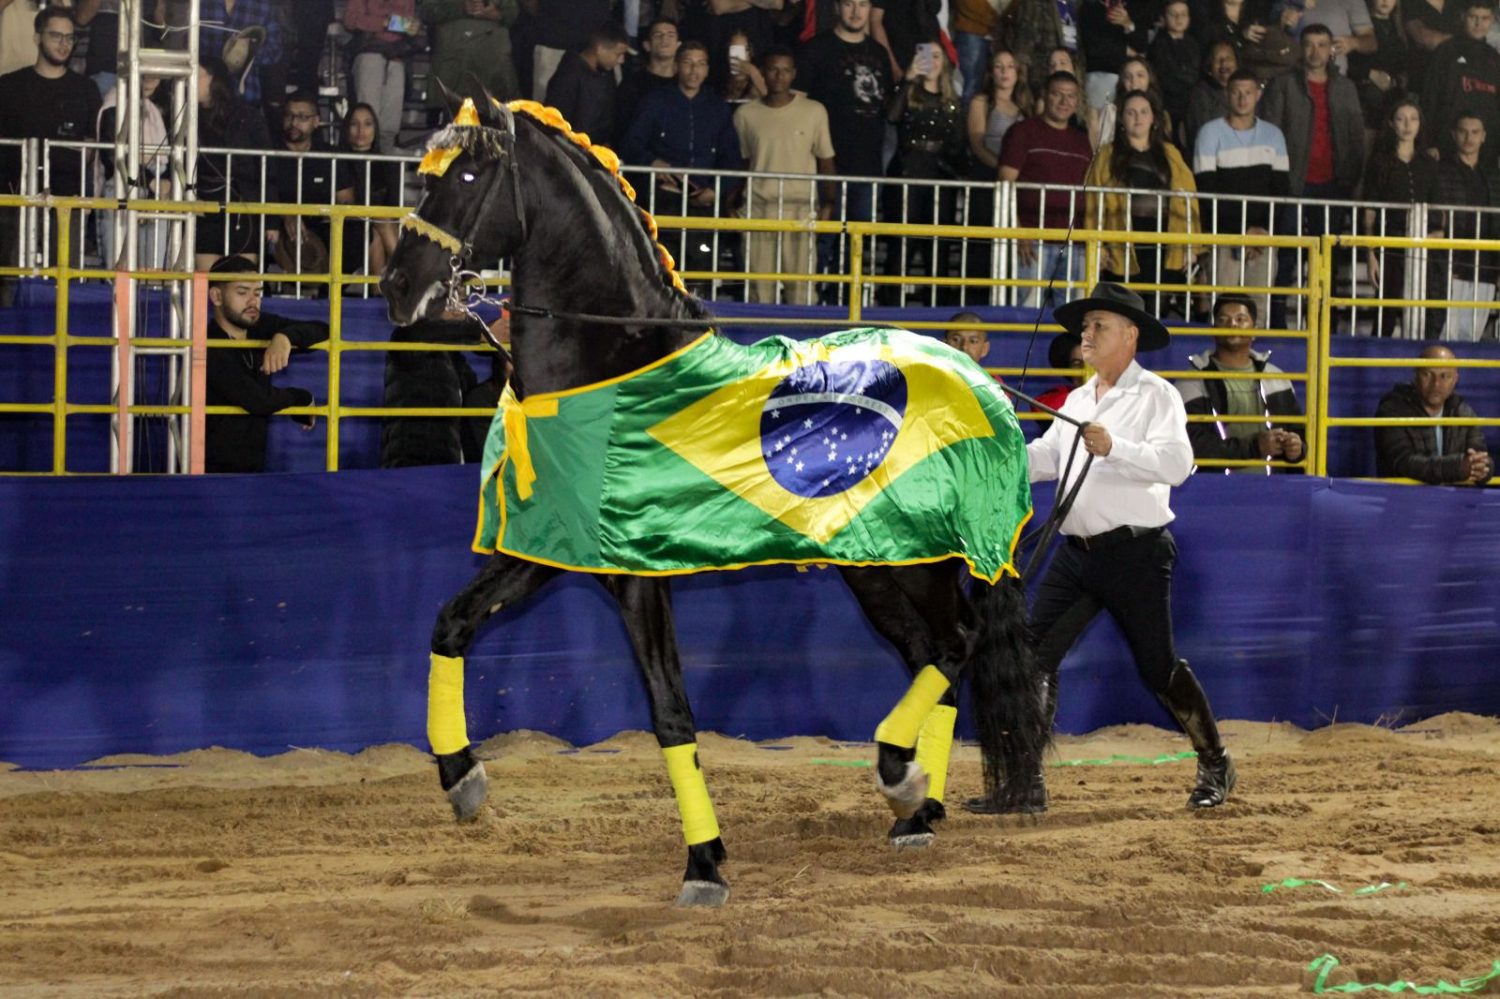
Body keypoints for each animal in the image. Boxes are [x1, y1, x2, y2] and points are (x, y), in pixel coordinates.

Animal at [381, 95, 1050, 900]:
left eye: (468, 174)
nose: (397, 286)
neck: (614, 365)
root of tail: (980, 382)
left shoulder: (638, 579)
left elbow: (671, 710)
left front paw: (704, 864)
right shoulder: (548, 553)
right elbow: (450, 625)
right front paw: (462, 777)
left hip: (911, 563)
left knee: (957, 644)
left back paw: (900, 775)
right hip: (882, 569)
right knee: (936, 658)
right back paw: (918, 808)